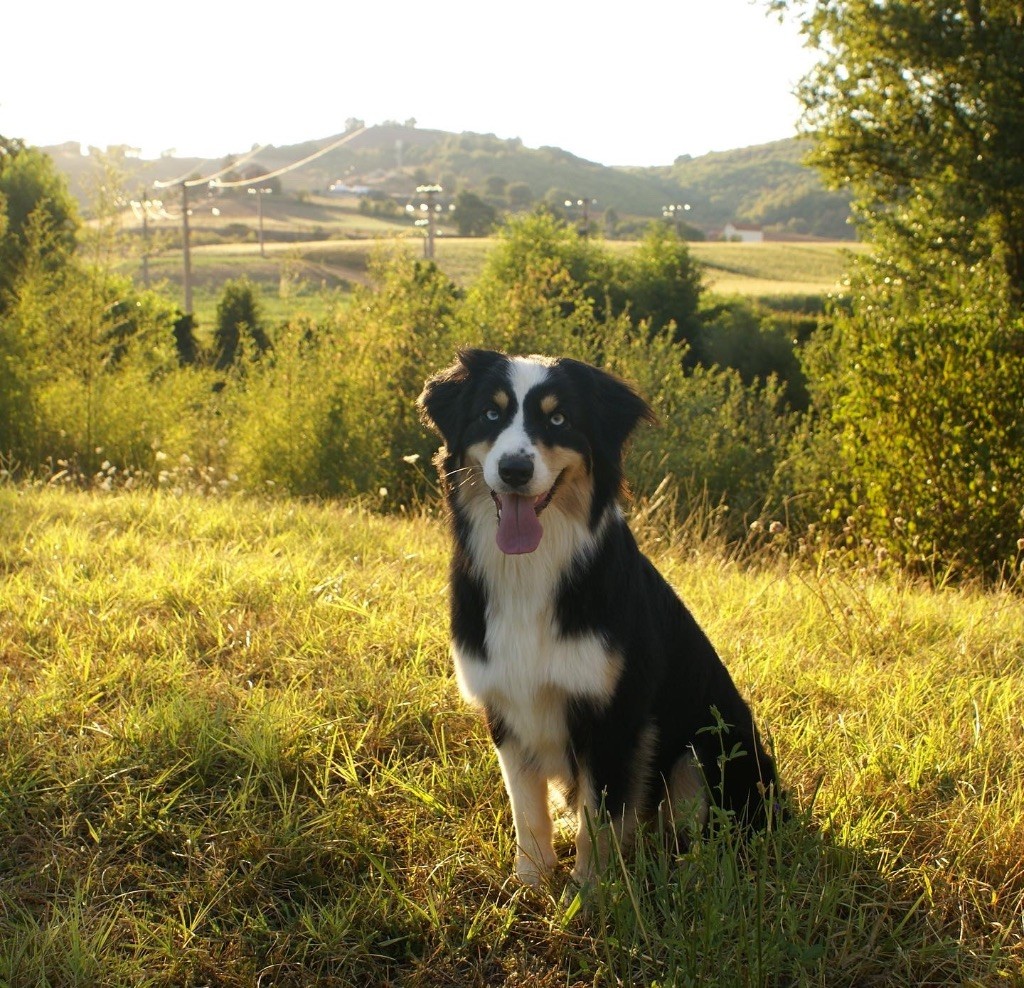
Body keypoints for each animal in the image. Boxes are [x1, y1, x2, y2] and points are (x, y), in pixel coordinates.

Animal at [419, 350, 778, 884]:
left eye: (559, 419)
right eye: (490, 413)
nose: (514, 469)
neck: (532, 570)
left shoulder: (615, 714)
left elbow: (602, 815)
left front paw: (592, 891)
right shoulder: (505, 706)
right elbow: (527, 809)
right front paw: (530, 882)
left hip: (704, 750)